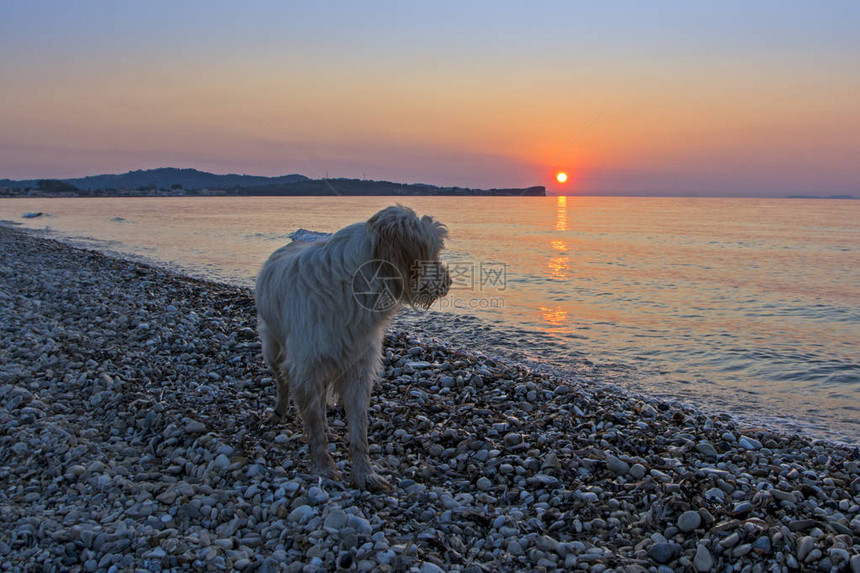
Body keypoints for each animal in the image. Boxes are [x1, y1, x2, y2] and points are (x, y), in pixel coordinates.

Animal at [254, 203, 450, 490]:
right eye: (432, 251)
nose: (448, 283)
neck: (356, 282)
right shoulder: (306, 367)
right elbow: (314, 429)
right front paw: (324, 467)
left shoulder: (358, 369)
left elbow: (359, 431)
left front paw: (365, 473)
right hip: (273, 347)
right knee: (282, 382)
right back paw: (278, 412)